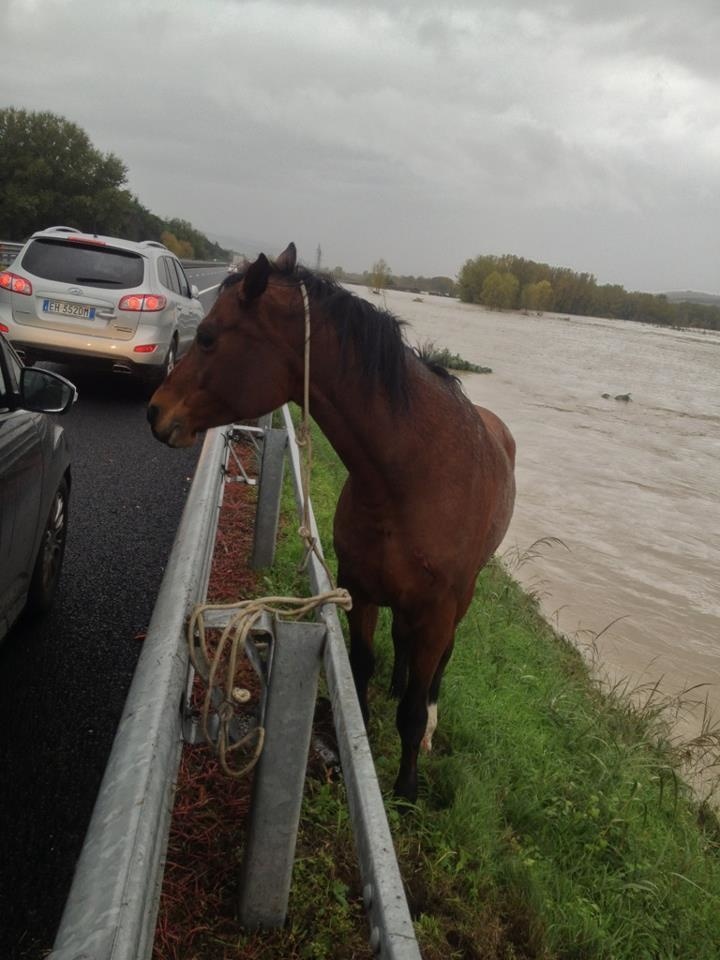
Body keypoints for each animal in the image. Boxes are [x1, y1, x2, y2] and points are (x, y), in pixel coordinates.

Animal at [149, 244, 516, 800]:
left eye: (209, 336)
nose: (155, 412)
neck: (414, 477)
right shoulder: (359, 590)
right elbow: (361, 673)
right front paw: (354, 753)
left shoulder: (436, 612)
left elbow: (413, 710)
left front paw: (406, 788)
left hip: (460, 603)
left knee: (437, 668)